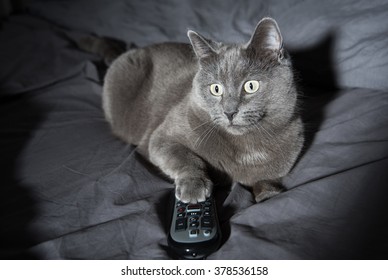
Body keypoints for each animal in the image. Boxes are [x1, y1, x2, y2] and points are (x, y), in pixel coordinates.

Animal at [101, 18, 302, 203]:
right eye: (216, 89)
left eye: (250, 86)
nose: (229, 112)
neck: (247, 147)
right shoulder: (162, 138)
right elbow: (186, 158)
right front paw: (194, 188)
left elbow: (265, 179)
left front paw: (269, 194)